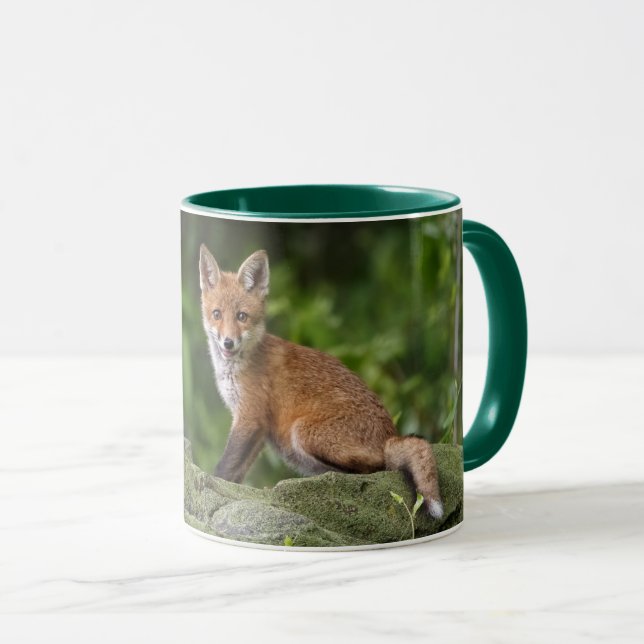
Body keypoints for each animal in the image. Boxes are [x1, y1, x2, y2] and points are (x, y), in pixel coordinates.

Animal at [199, 244, 444, 518]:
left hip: (302, 433)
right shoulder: (258, 428)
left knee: (374, 468)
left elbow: (224, 465)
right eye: (217, 314)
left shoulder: (250, 416)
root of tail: (390, 436)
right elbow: (236, 470)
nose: (228, 342)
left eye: (242, 316)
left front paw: (209, 485)